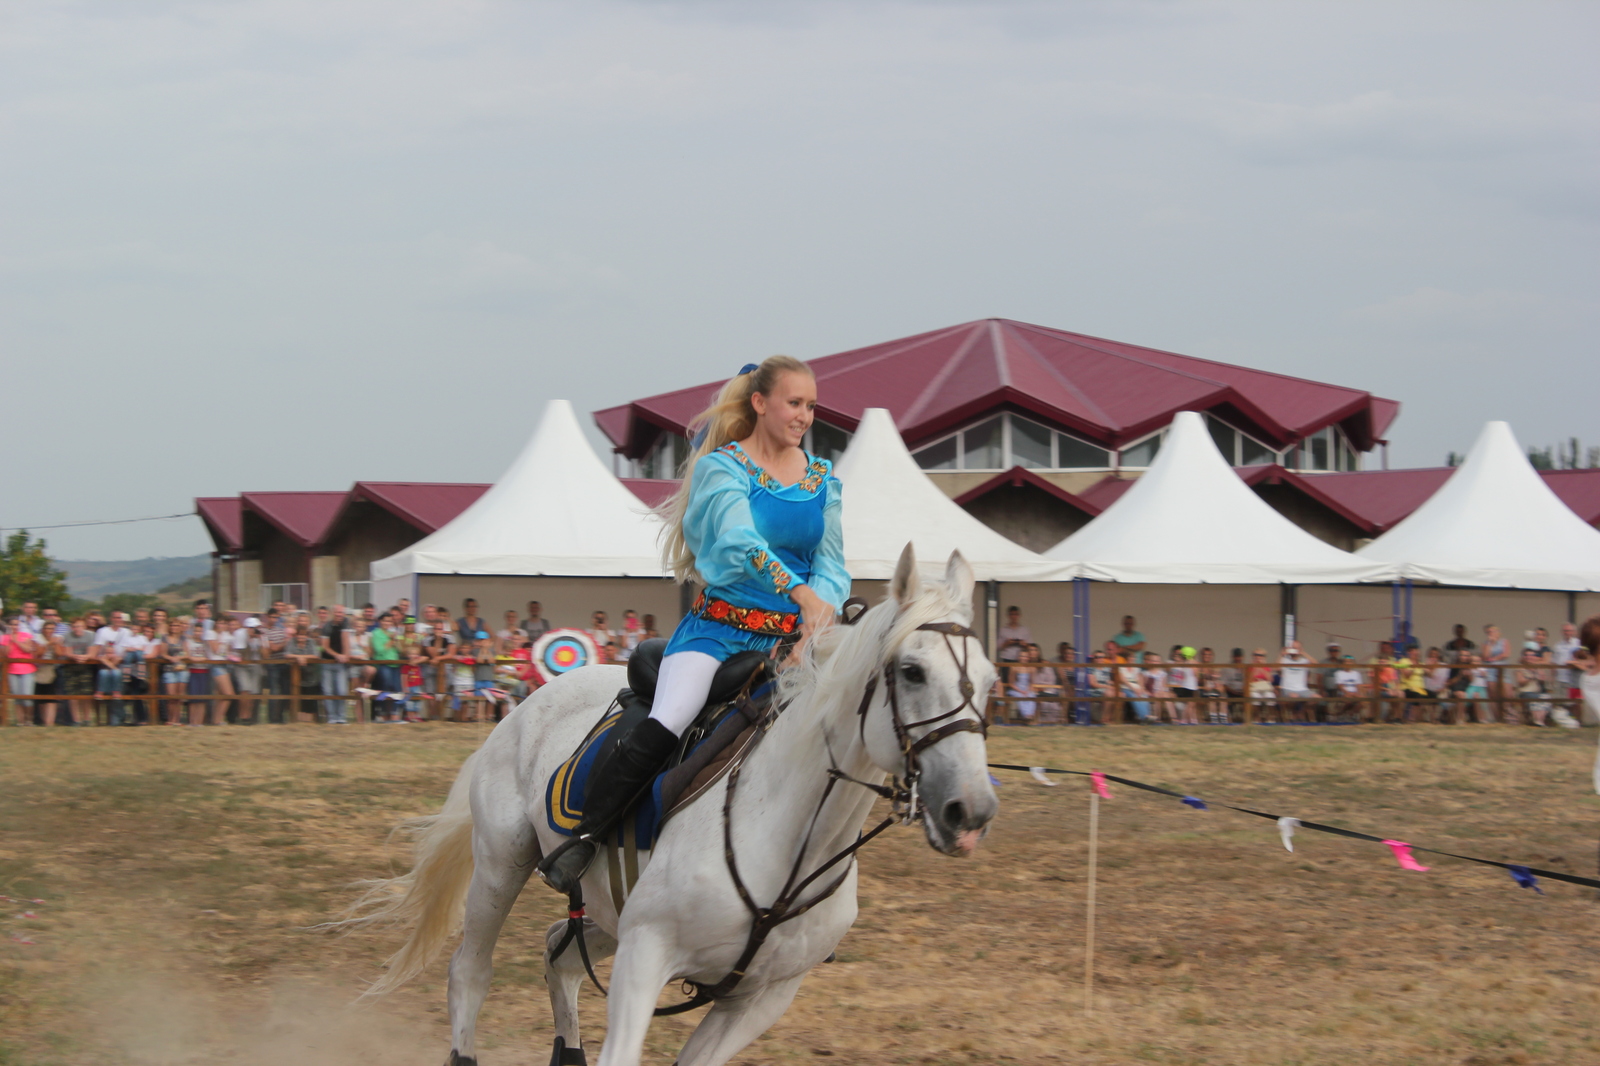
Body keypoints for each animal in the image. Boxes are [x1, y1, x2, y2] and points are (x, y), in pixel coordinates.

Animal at [345, 547, 998, 1062]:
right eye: (911, 671)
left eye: (991, 680)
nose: (971, 812)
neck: (789, 841)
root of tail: (529, 697)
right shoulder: (645, 955)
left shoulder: (757, 999)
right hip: (502, 865)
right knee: (470, 972)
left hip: (606, 909)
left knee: (560, 950)